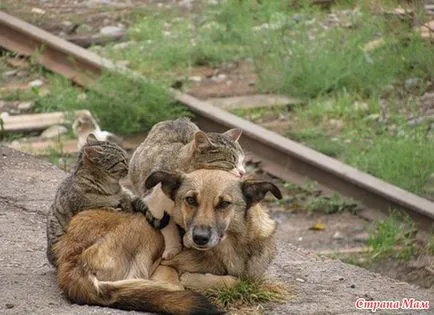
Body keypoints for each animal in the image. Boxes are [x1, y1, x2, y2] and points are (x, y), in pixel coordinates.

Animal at [45, 135, 168, 268]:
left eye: (126, 157)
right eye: (121, 161)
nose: (129, 165)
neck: (111, 188)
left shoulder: (127, 195)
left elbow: (138, 202)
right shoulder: (85, 209)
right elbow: (108, 209)